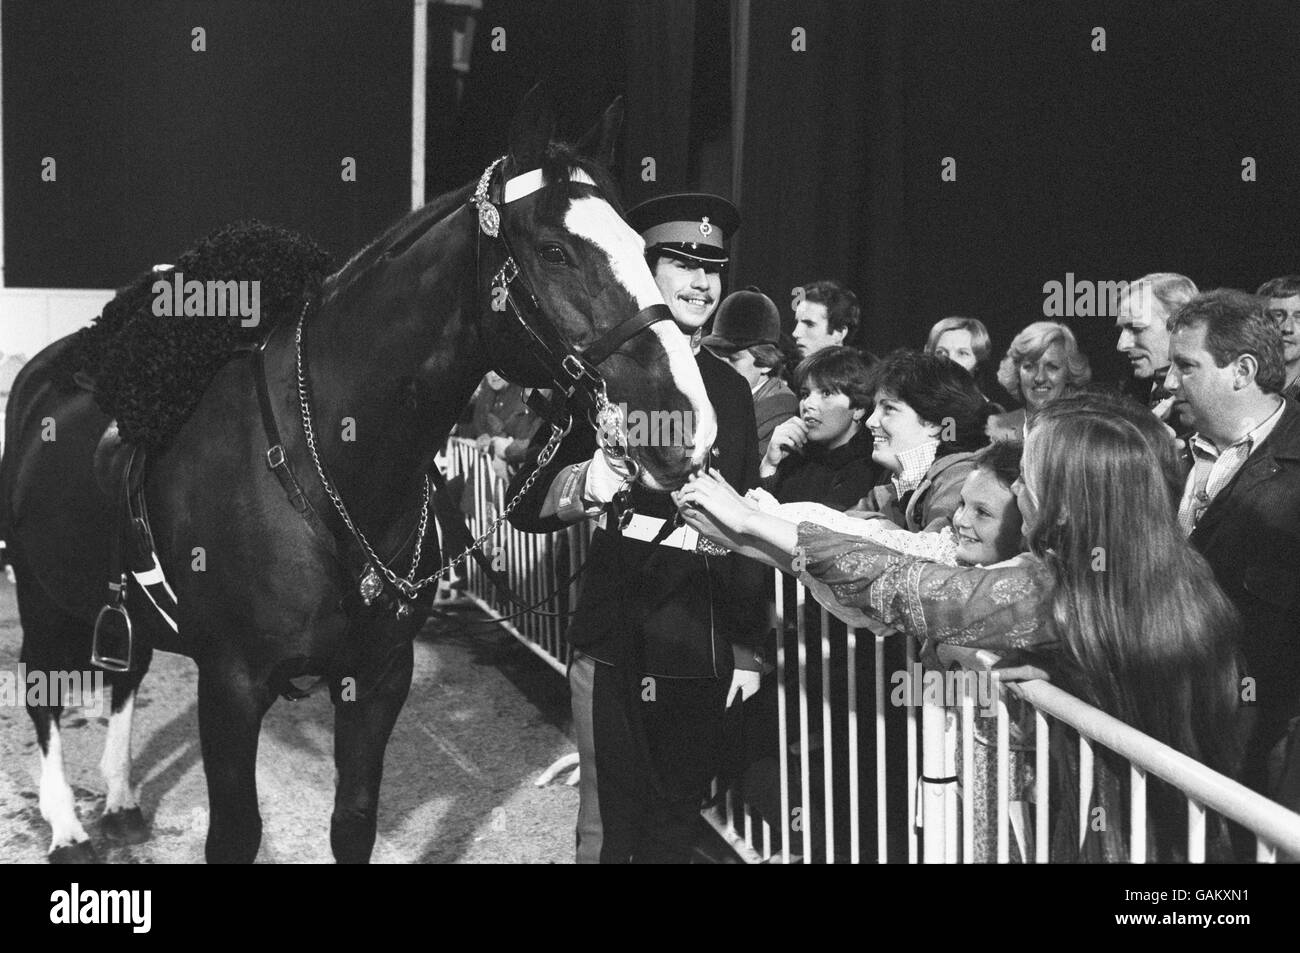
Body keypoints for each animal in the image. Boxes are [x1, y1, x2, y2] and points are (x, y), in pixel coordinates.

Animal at [0, 89, 717, 863]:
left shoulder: (377, 680)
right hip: (41, 593)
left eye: (642, 249)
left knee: (125, 676)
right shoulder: (230, 685)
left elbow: (353, 823)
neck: (322, 471)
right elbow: (235, 832)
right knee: (42, 690)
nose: (684, 421)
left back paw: (122, 800)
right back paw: (66, 825)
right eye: (553, 251)